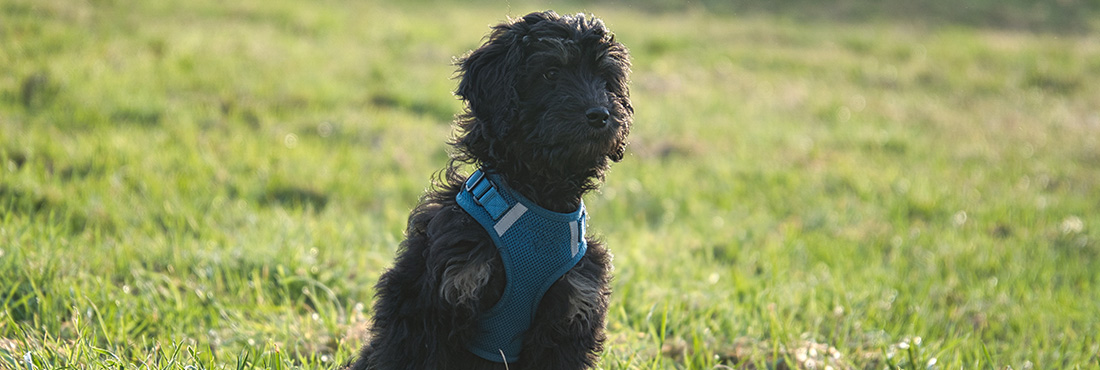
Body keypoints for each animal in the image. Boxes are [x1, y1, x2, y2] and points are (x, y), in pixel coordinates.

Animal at [347, 11, 633, 370]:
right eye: (551, 73)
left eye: (606, 81)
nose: (600, 114)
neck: (538, 198)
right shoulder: (434, 301)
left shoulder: (574, 305)